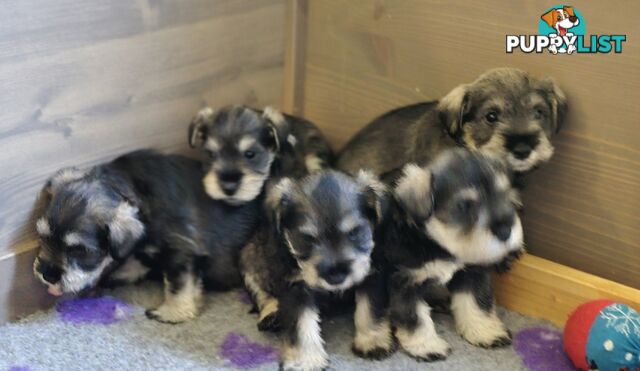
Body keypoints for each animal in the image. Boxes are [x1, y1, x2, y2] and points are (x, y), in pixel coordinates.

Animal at [33, 150, 260, 324]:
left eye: (80, 250)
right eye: (42, 237)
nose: (47, 275)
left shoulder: (181, 250)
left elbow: (178, 283)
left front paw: (173, 312)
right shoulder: (143, 252)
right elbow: (133, 265)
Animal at [240, 171, 388, 371]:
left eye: (355, 232)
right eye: (307, 238)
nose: (336, 277)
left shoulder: (371, 274)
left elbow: (370, 309)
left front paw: (372, 340)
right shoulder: (295, 287)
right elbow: (302, 323)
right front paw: (304, 360)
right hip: (250, 260)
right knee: (262, 294)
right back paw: (271, 314)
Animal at [358, 150, 524, 362]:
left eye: (506, 196)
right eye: (463, 206)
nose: (505, 231)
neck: (437, 243)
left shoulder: (472, 272)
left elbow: (476, 302)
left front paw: (485, 331)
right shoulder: (405, 283)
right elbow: (415, 317)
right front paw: (426, 345)